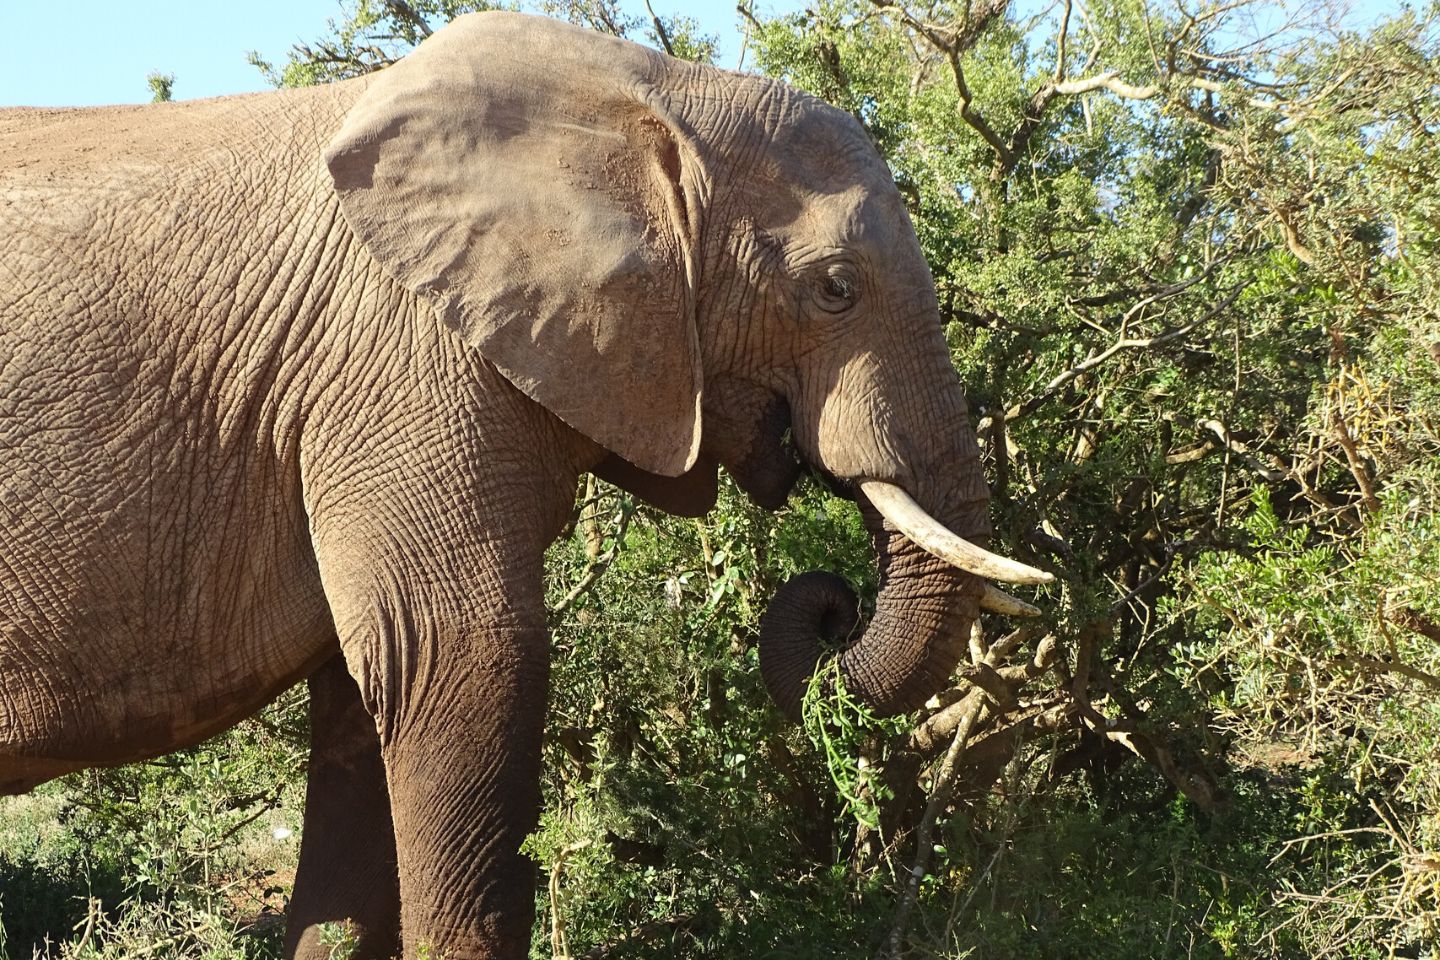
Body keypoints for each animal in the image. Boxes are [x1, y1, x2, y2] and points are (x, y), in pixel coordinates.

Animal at [2, 9, 1048, 960]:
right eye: (836, 288)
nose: (834, 610)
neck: (656, 97)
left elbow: (363, 700)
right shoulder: (402, 361)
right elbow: (460, 654)